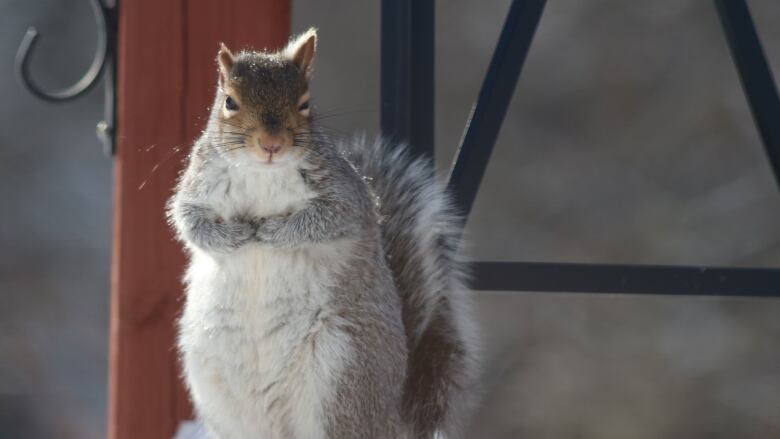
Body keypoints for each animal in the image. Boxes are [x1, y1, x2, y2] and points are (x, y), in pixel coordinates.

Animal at [168, 29, 478, 438]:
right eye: (230, 102)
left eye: (304, 103)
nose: (271, 145)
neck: (261, 172)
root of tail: (391, 420)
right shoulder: (197, 188)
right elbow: (191, 223)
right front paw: (236, 235)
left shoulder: (345, 195)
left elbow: (327, 220)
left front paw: (273, 231)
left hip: (340, 377)